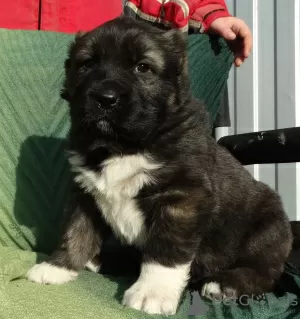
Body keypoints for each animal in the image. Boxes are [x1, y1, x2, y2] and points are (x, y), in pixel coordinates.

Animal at [26, 16, 292, 316]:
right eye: (87, 64)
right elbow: (75, 231)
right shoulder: (84, 194)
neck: (123, 146)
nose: (105, 98)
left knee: (264, 273)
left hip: (268, 228)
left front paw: (151, 292)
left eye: (142, 67)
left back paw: (224, 284)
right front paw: (58, 267)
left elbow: (166, 249)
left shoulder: (182, 198)